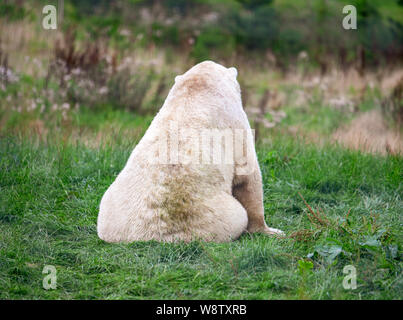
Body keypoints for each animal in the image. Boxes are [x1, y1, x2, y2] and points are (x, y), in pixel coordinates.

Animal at [96, 60, 284, 242]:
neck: (197, 88)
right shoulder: (235, 123)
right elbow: (248, 176)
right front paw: (271, 231)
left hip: (111, 206)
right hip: (217, 216)